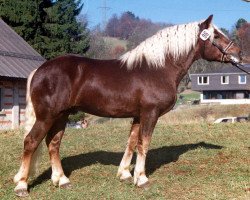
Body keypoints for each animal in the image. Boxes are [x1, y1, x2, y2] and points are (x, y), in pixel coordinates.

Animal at [13, 15, 240, 197]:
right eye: (216, 36)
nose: (238, 52)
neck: (158, 68)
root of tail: (40, 70)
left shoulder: (138, 115)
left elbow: (131, 143)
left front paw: (124, 174)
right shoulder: (150, 113)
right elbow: (143, 144)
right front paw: (141, 178)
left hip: (61, 115)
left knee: (53, 143)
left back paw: (62, 180)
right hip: (47, 116)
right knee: (31, 141)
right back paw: (22, 185)